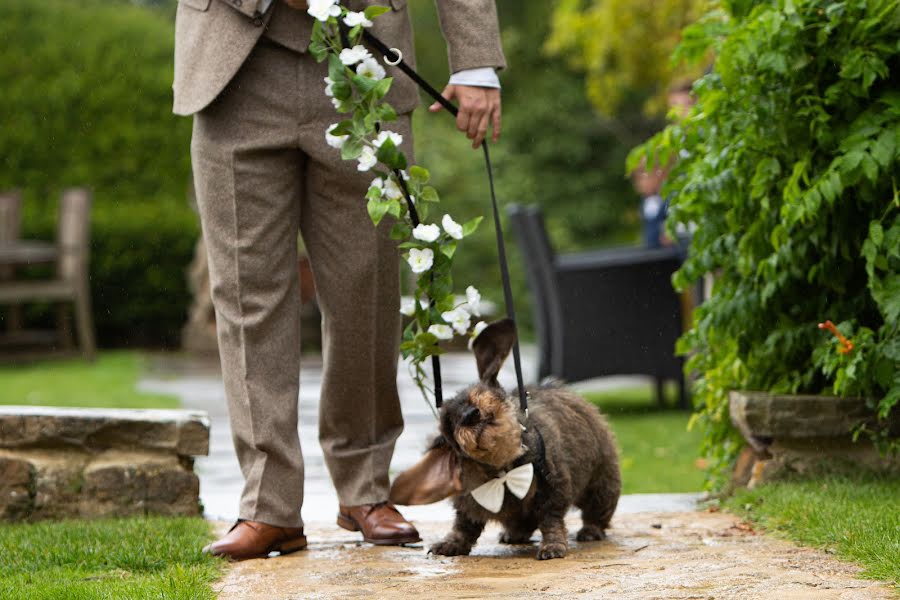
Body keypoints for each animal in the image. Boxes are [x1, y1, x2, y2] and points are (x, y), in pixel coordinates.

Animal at [390, 322, 624, 560]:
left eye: (476, 393)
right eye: (452, 422)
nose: (470, 415)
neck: (504, 468)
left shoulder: (553, 489)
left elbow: (551, 520)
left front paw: (552, 545)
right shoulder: (469, 503)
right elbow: (463, 526)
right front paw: (452, 543)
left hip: (601, 484)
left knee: (596, 512)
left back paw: (591, 530)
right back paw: (515, 533)